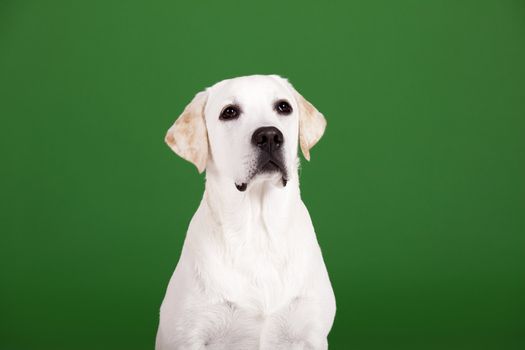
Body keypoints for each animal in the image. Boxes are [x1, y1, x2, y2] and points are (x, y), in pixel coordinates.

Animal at [157, 74, 336, 350]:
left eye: (283, 107)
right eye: (229, 112)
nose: (270, 136)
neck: (259, 230)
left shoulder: (312, 333)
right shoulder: (191, 335)